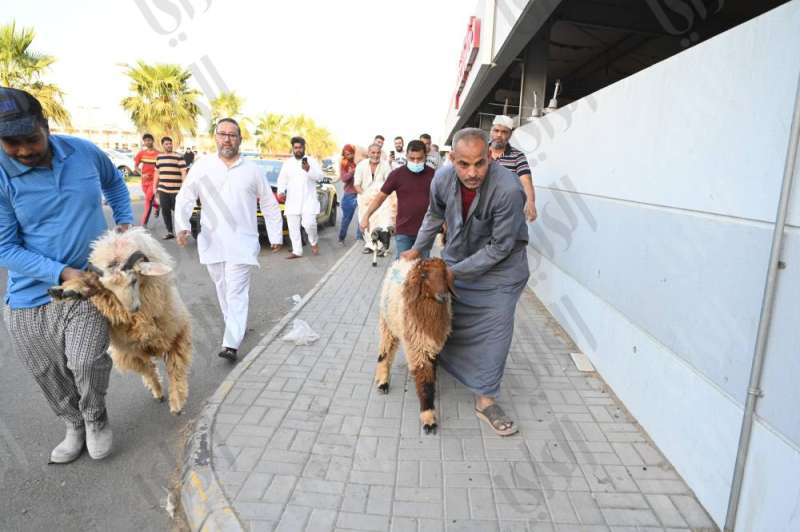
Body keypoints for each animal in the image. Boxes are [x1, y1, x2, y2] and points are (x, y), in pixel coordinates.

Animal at [49, 227, 192, 415]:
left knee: (173, 367)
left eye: (133, 280)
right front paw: (66, 290)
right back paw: (158, 391)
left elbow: (175, 368)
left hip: (171, 336)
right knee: (148, 368)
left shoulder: (173, 333)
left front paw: (177, 403)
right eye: (110, 288)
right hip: (130, 353)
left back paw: (175, 402)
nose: (132, 309)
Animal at [374, 258, 454, 434]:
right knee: (385, 352)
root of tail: (401, 261)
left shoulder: (432, 347)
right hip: (387, 324)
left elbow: (430, 372)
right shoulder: (417, 348)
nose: (443, 296)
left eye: (444, 274)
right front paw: (428, 418)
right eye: (423, 275)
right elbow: (424, 383)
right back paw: (383, 381)